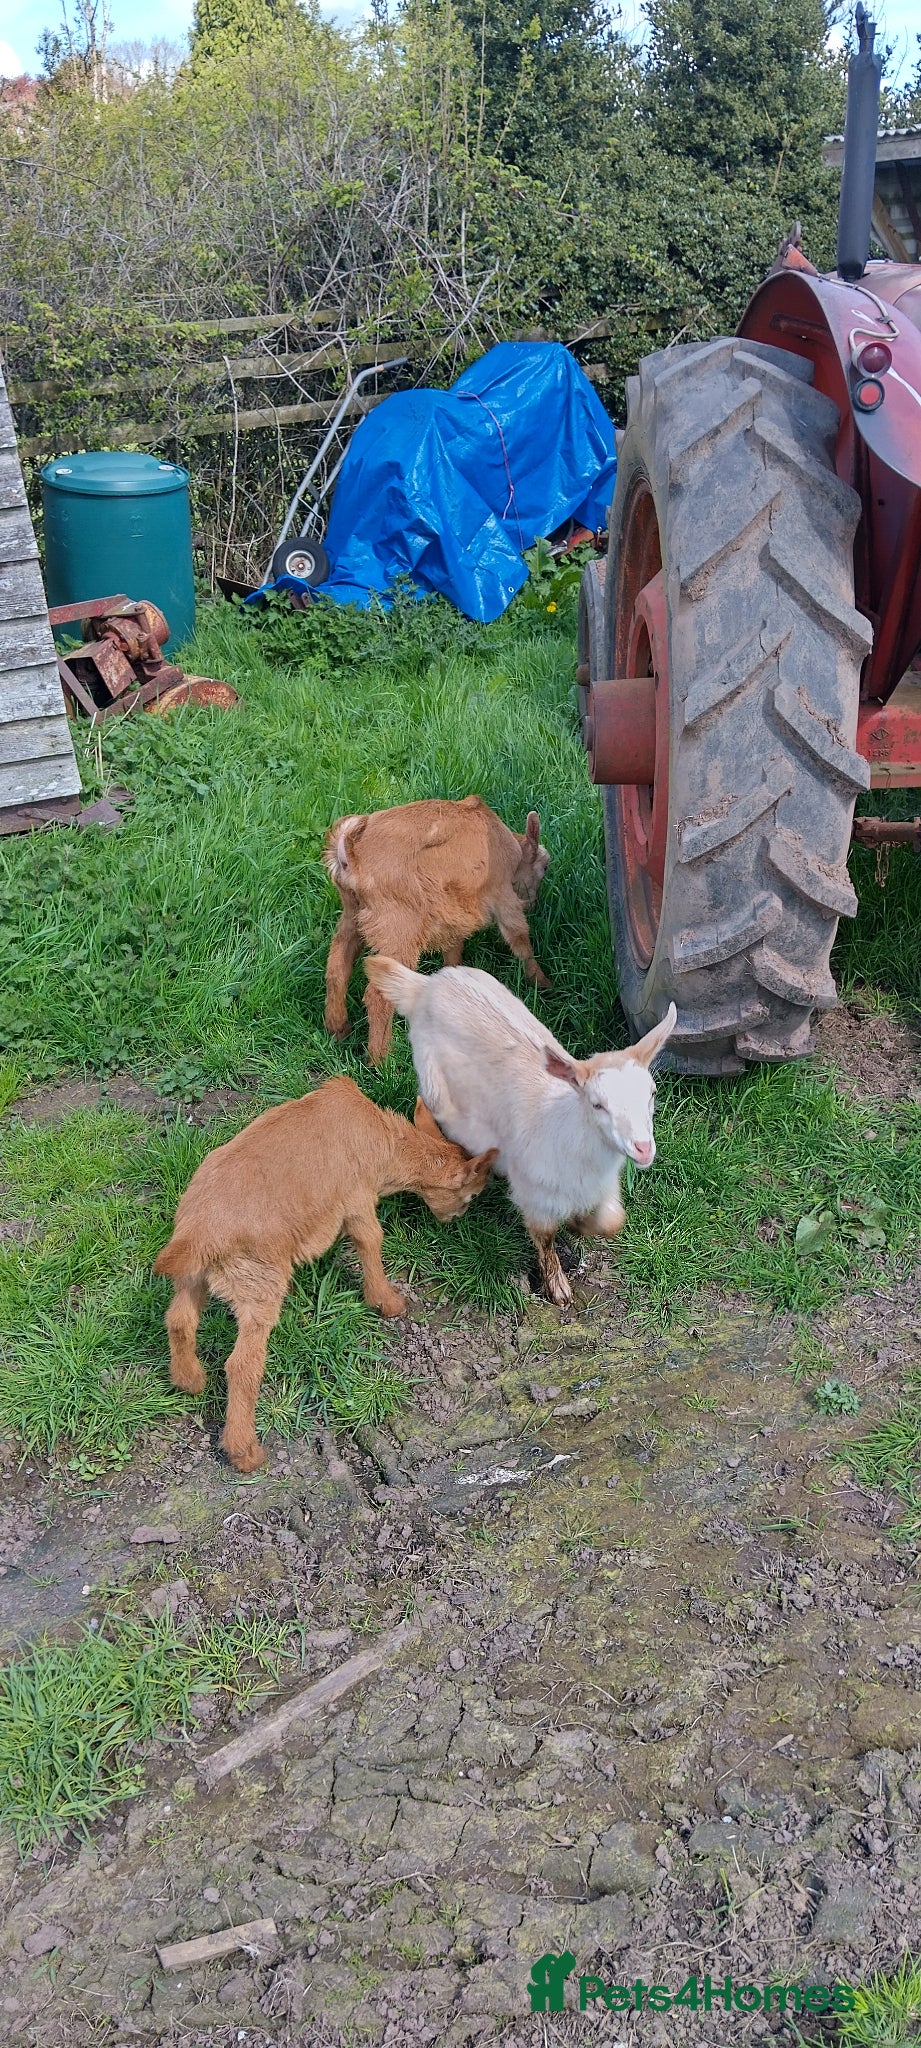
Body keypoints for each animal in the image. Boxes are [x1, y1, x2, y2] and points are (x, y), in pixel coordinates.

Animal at [153, 1076, 496, 1471]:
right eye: (471, 1195)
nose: (455, 1220)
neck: (383, 1140)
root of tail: (200, 1234)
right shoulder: (357, 1199)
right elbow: (370, 1240)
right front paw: (387, 1301)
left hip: (193, 1277)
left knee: (179, 1319)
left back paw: (190, 1380)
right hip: (261, 1283)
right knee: (242, 1364)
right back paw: (245, 1453)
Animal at [323, 795, 550, 1063]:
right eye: (545, 866)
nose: (534, 903)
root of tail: (348, 849)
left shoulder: (455, 908)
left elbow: (453, 947)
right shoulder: (503, 896)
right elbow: (520, 938)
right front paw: (542, 982)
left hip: (353, 914)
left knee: (337, 968)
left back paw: (338, 1030)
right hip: (398, 927)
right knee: (377, 993)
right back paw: (382, 1061)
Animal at [364, 957, 676, 1308]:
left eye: (651, 1093)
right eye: (597, 1104)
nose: (643, 1148)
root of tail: (425, 986)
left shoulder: (604, 1187)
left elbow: (611, 1223)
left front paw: (579, 1225)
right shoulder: (533, 1193)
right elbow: (545, 1238)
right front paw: (557, 1288)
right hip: (434, 1086)